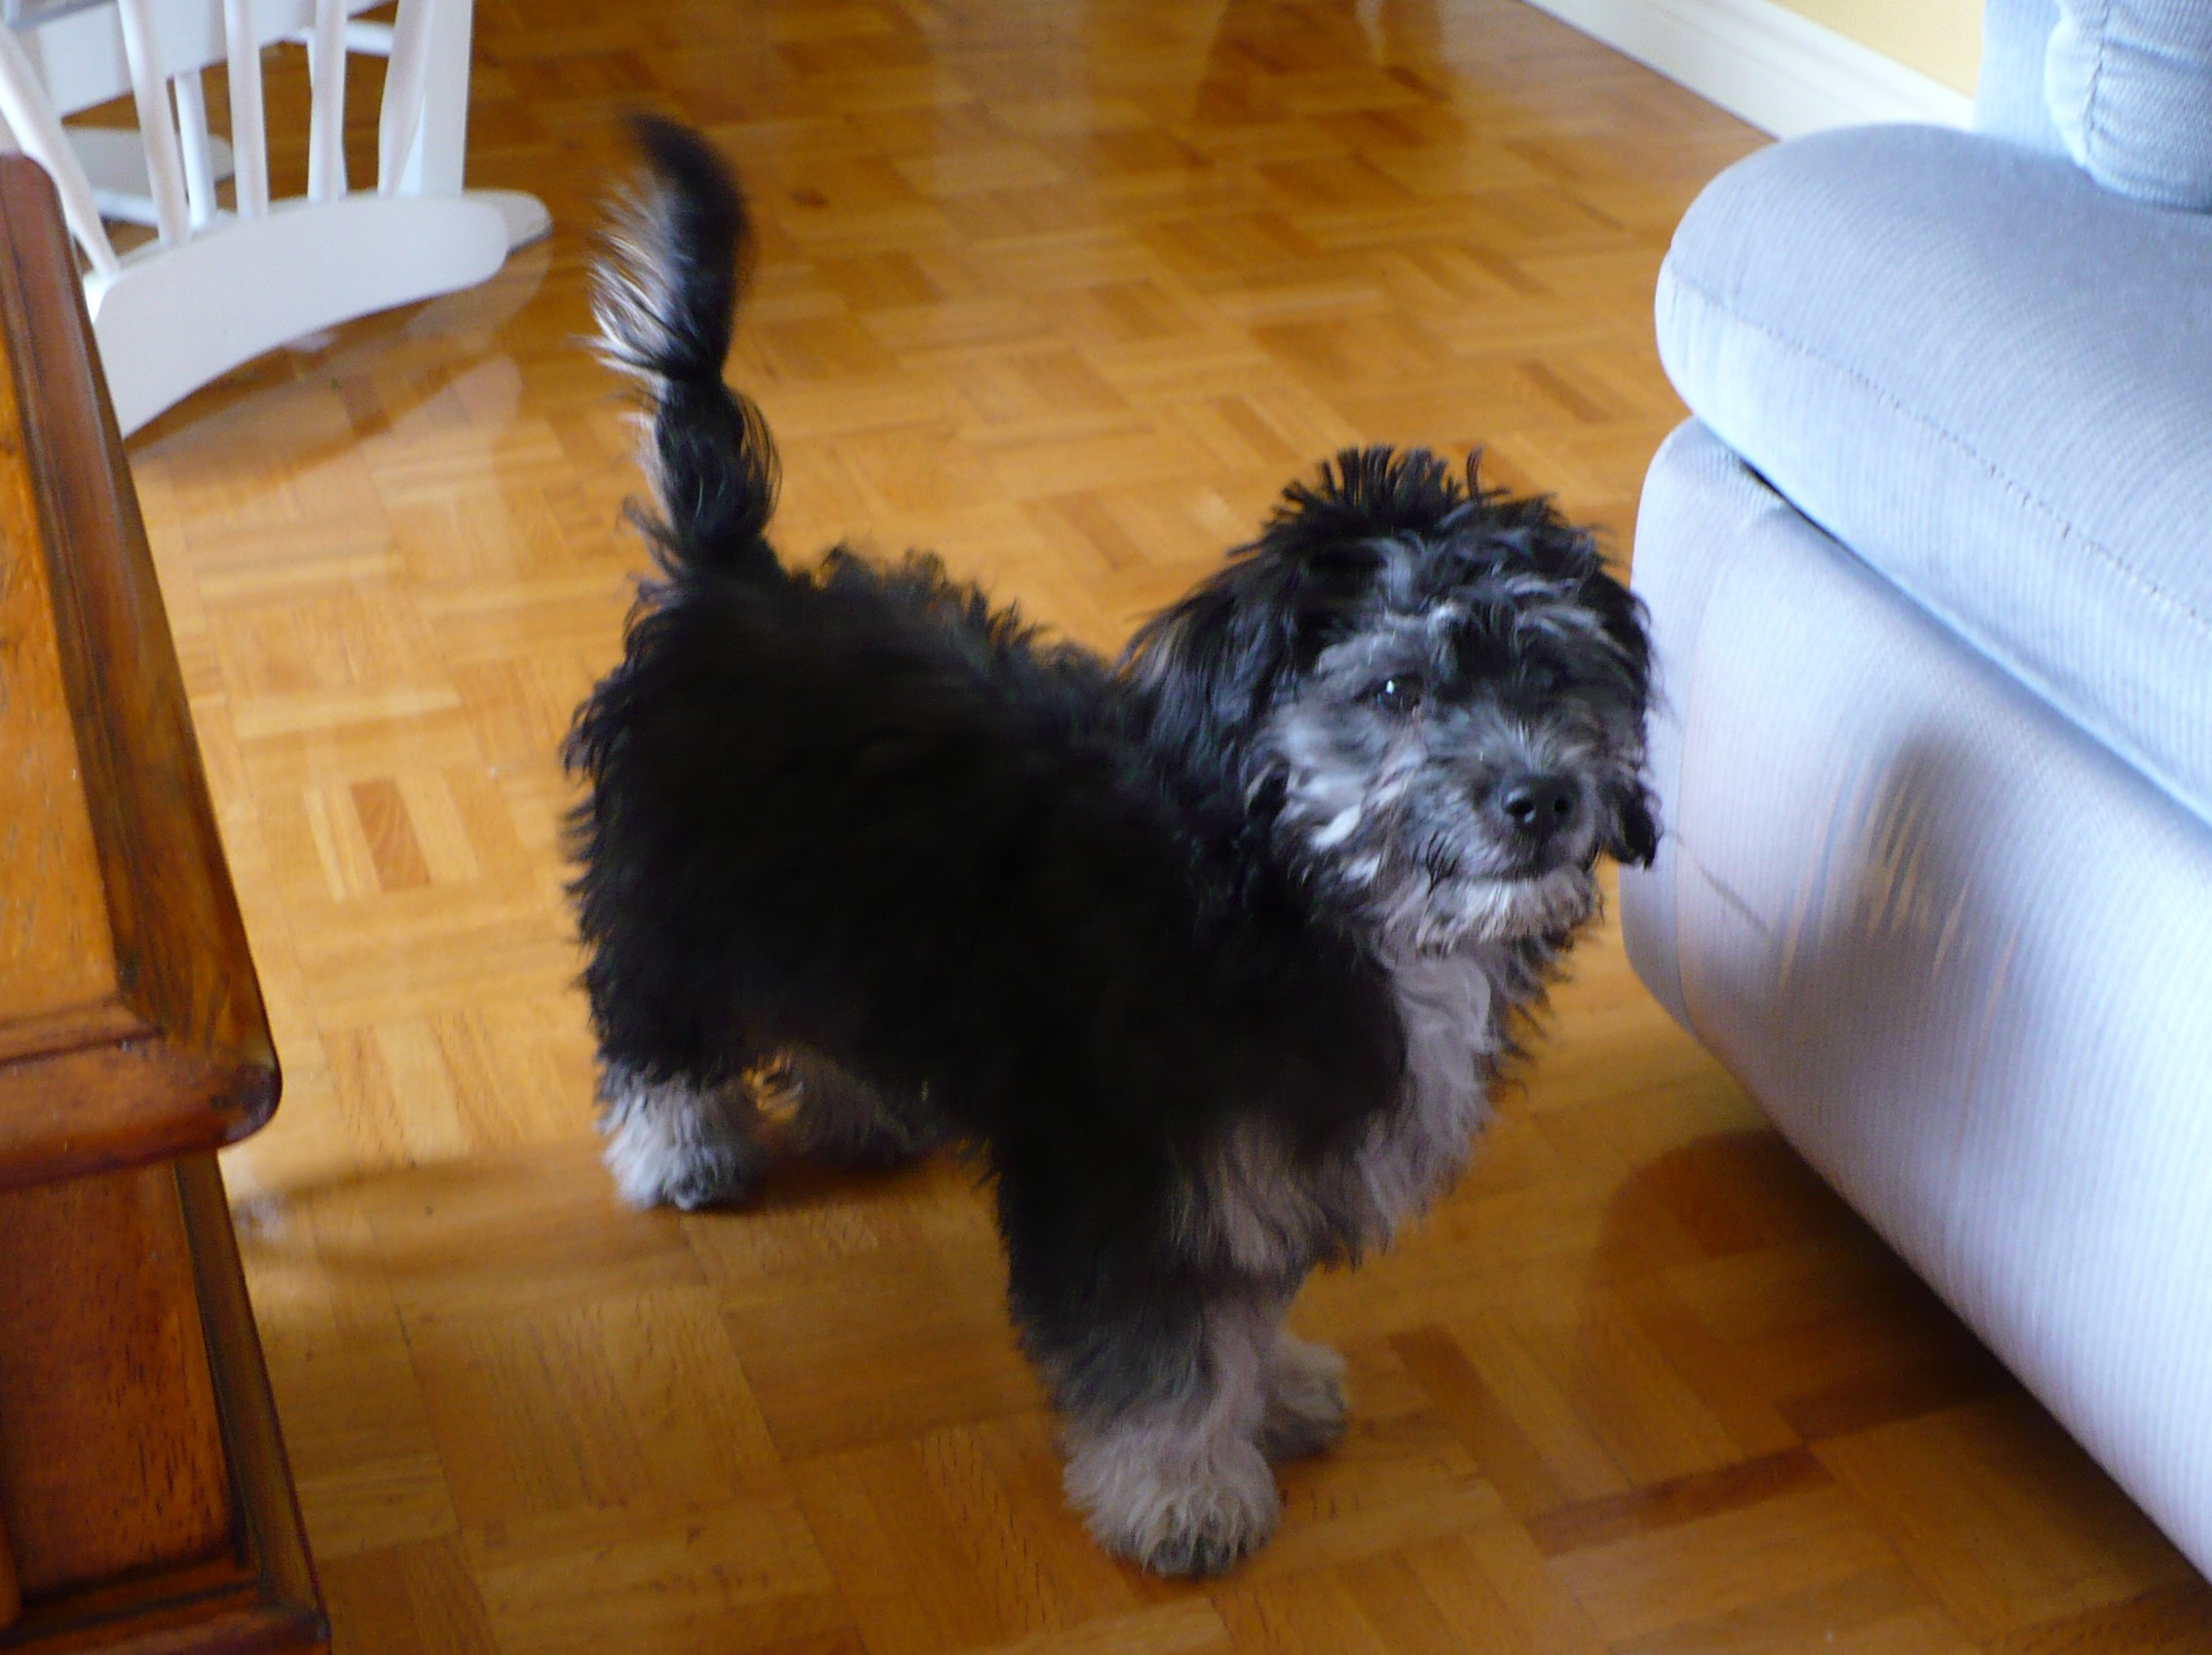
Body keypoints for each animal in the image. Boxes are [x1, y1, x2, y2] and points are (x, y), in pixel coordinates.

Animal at [567, 117, 1658, 1577]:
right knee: (651, 1019)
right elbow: (1164, 1347)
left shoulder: (1253, 1159)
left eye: (1553, 672)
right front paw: (1182, 1489)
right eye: (1392, 691)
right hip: (681, 887)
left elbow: (1242, 1309)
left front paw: (1275, 1389)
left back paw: (864, 1106)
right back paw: (679, 1147)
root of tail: (731, 577)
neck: (1290, 891)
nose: (1539, 797)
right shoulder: (1137, 1167)